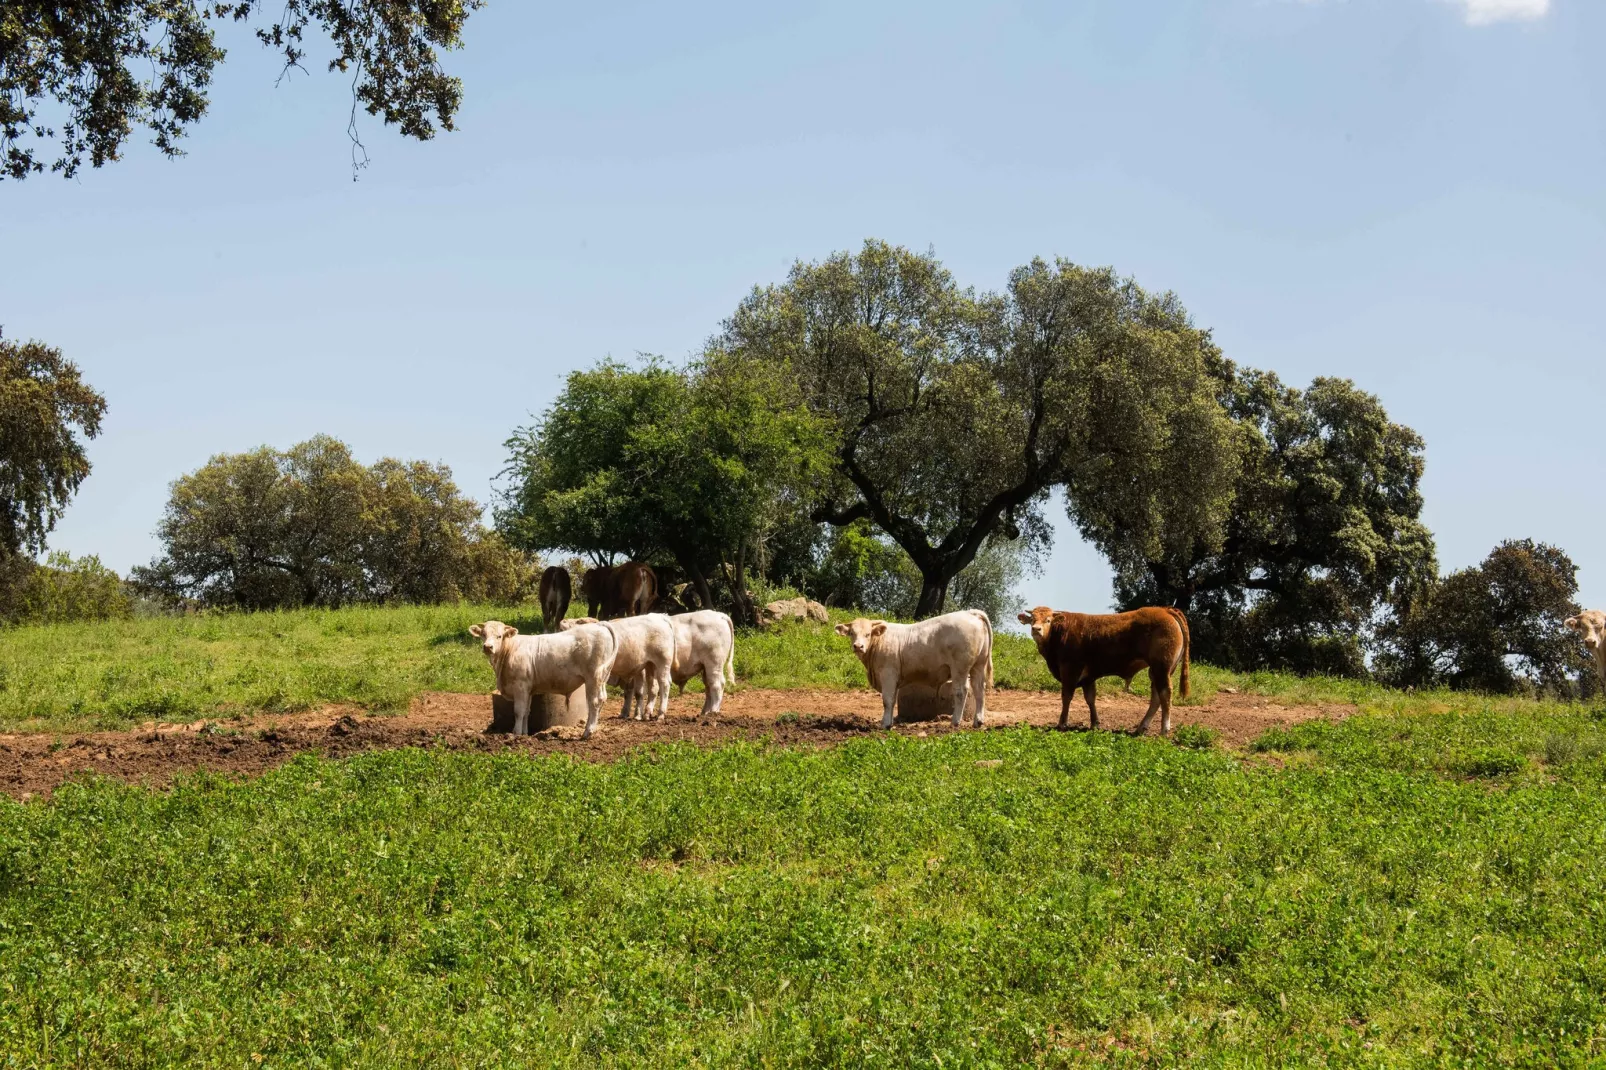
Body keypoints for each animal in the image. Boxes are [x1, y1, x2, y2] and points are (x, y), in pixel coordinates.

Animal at [835, 607, 995, 726]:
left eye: (868, 634)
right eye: (852, 633)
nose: (858, 646)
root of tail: (970, 612)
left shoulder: (888, 674)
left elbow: (887, 700)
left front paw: (885, 724)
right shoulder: (895, 678)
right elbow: (893, 700)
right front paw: (889, 723)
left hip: (960, 667)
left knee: (961, 691)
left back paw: (955, 721)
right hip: (978, 665)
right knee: (979, 690)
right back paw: (978, 721)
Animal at [1021, 604, 1188, 739]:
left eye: (1048, 620)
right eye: (1032, 619)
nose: (1036, 629)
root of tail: (1165, 609)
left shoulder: (1070, 670)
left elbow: (1066, 697)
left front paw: (1062, 723)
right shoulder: (1088, 677)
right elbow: (1090, 699)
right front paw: (1095, 723)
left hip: (1162, 667)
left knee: (1165, 694)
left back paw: (1164, 730)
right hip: (1157, 671)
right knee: (1156, 697)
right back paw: (1141, 728)